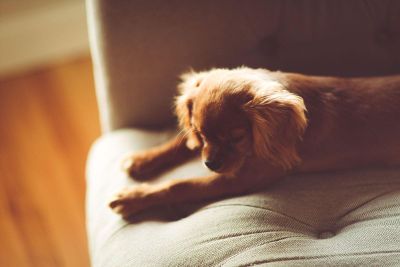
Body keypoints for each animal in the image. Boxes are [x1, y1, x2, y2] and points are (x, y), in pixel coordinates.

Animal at [108, 67, 400, 220]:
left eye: (237, 137)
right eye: (201, 133)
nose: (210, 164)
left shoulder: (241, 178)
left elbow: (183, 185)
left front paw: (134, 198)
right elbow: (181, 143)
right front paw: (142, 159)